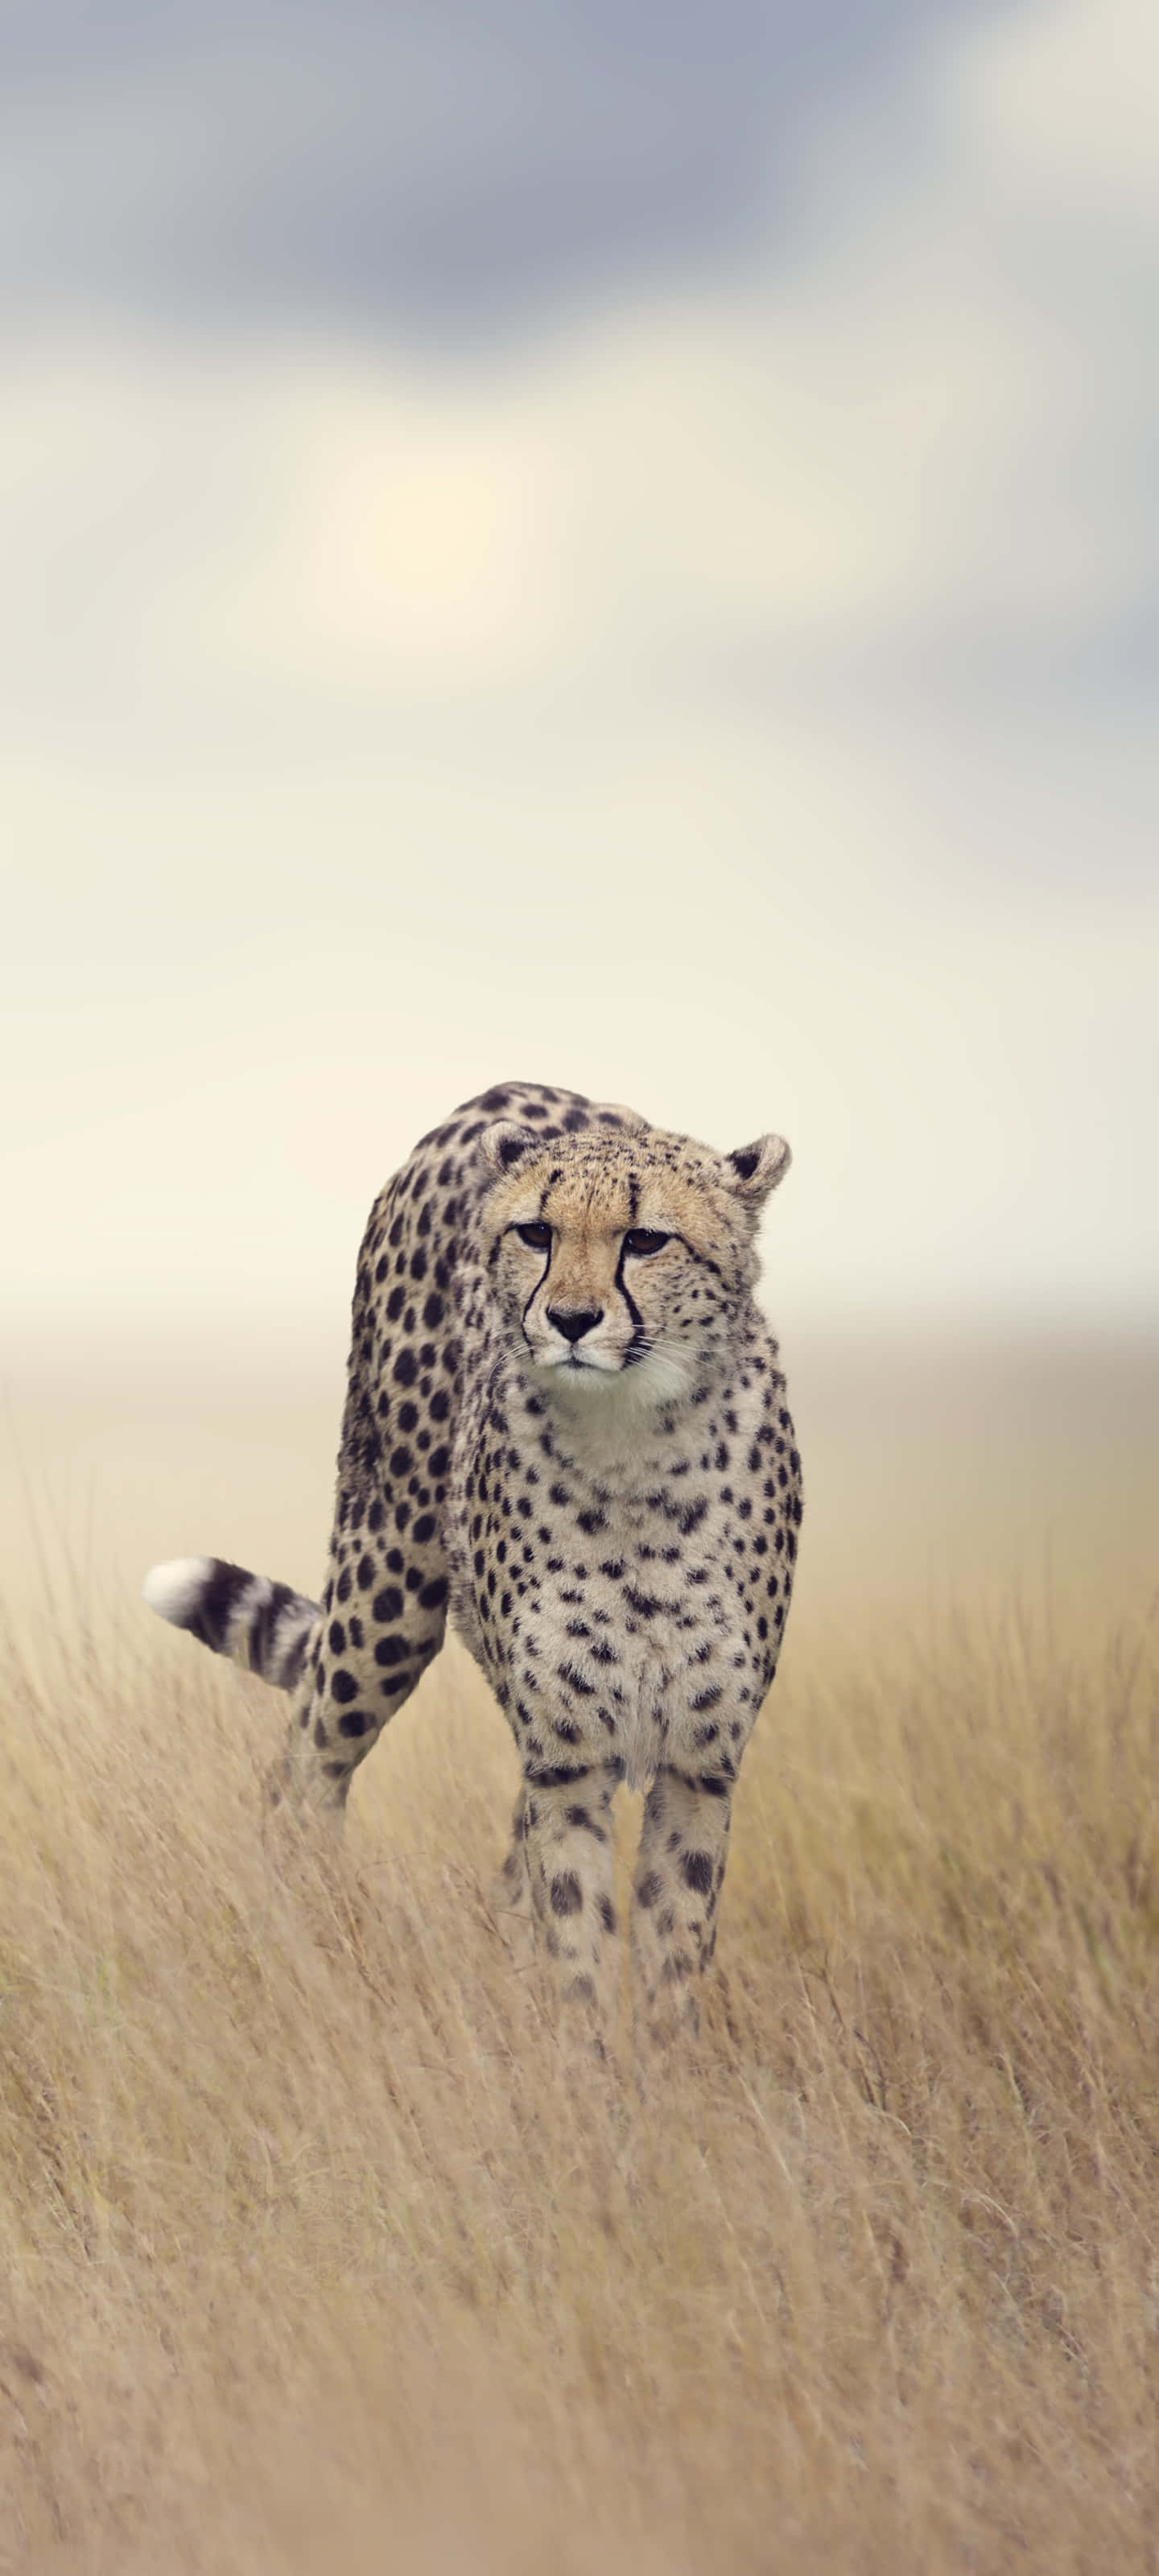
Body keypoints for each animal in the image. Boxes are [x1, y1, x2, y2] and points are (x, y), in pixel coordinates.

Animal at [144, 1080, 803, 2045]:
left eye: (646, 1239)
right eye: (536, 1231)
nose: (570, 1320)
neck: (634, 1449)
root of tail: (501, 1093)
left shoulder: (698, 1764)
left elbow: (669, 1953)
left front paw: (665, 2073)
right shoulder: (566, 1761)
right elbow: (575, 1933)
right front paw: (582, 2066)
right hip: (386, 1592)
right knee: (304, 1770)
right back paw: (300, 1940)